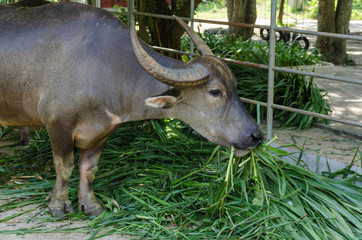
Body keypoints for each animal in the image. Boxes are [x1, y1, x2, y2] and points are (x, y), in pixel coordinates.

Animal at [0, 2, 262, 218]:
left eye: (235, 85)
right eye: (215, 92)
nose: (255, 136)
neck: (104, 67)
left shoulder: (102, 131)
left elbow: (89, 169)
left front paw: (91, 205)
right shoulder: (58, 124)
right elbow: (64, 167)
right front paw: (58, 205)